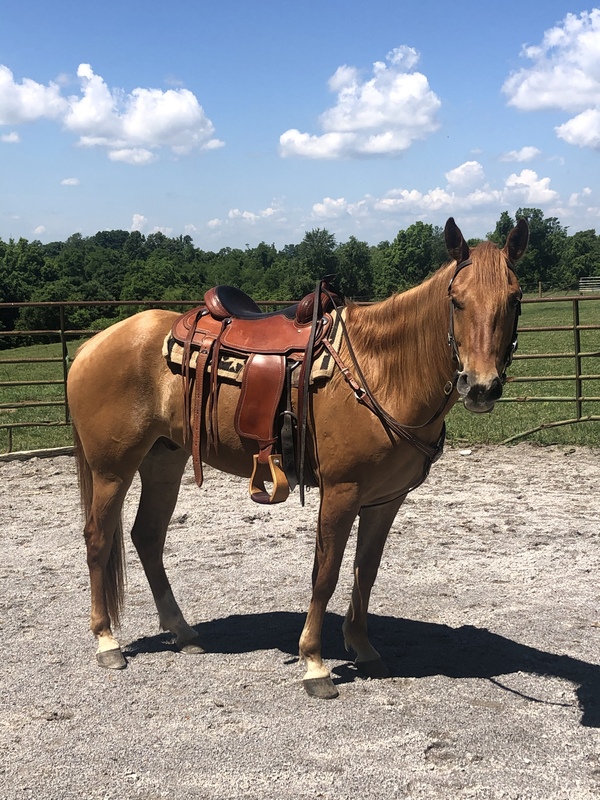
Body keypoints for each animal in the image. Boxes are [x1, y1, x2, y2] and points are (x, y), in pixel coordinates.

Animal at [67, 217, 528, 699]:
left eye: (514, 298)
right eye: (456, 300)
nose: (480, 386)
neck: (380, 372)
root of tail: (91, 345)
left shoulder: (386, 500)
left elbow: (366, 571)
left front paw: (364, 649)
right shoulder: (342, 492)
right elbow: (325, 574)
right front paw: (314, 663)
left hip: (164, 461)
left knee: (147, 537)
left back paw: (183, 631)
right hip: (112, 470)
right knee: (98, 539)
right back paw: (107, 641)